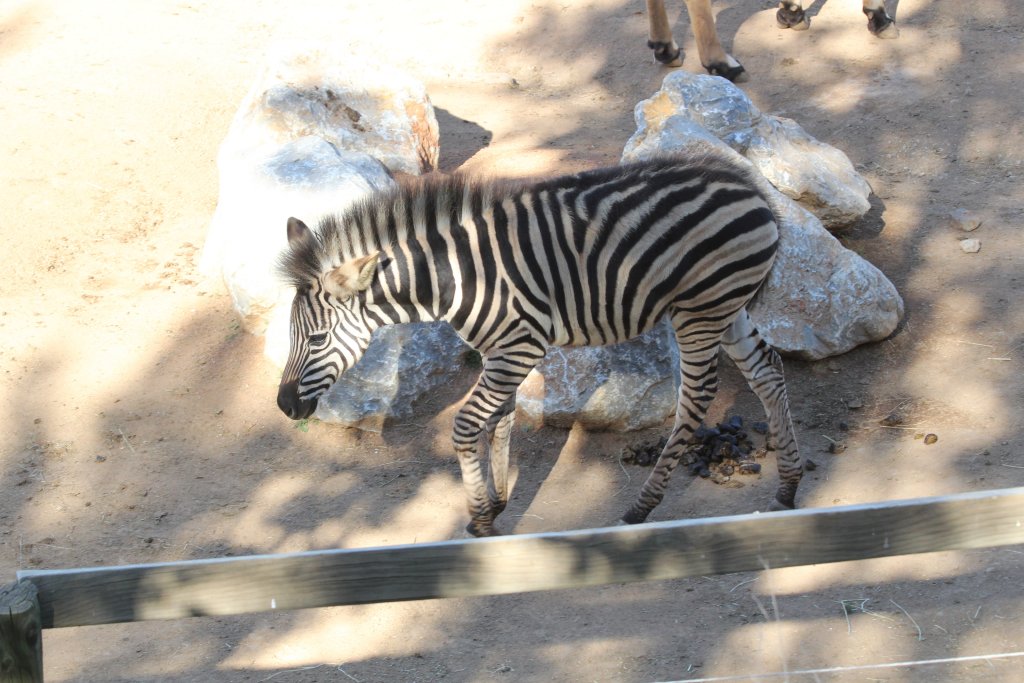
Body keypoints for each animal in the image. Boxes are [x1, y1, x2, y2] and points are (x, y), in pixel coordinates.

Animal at [276, 153, 803, 537]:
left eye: (317, 338)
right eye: (294, 335)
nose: (284, 407)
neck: (455, 278)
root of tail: (750, 186)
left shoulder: (520, 348)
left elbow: (467, 425)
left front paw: (480, 519)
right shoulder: (500, 351)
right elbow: (500, 419)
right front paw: (498, 500)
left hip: (700, 311)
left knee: (697, 398)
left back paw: (641, 507)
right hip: (727, 307)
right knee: (768, 371)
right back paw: (789, 486)